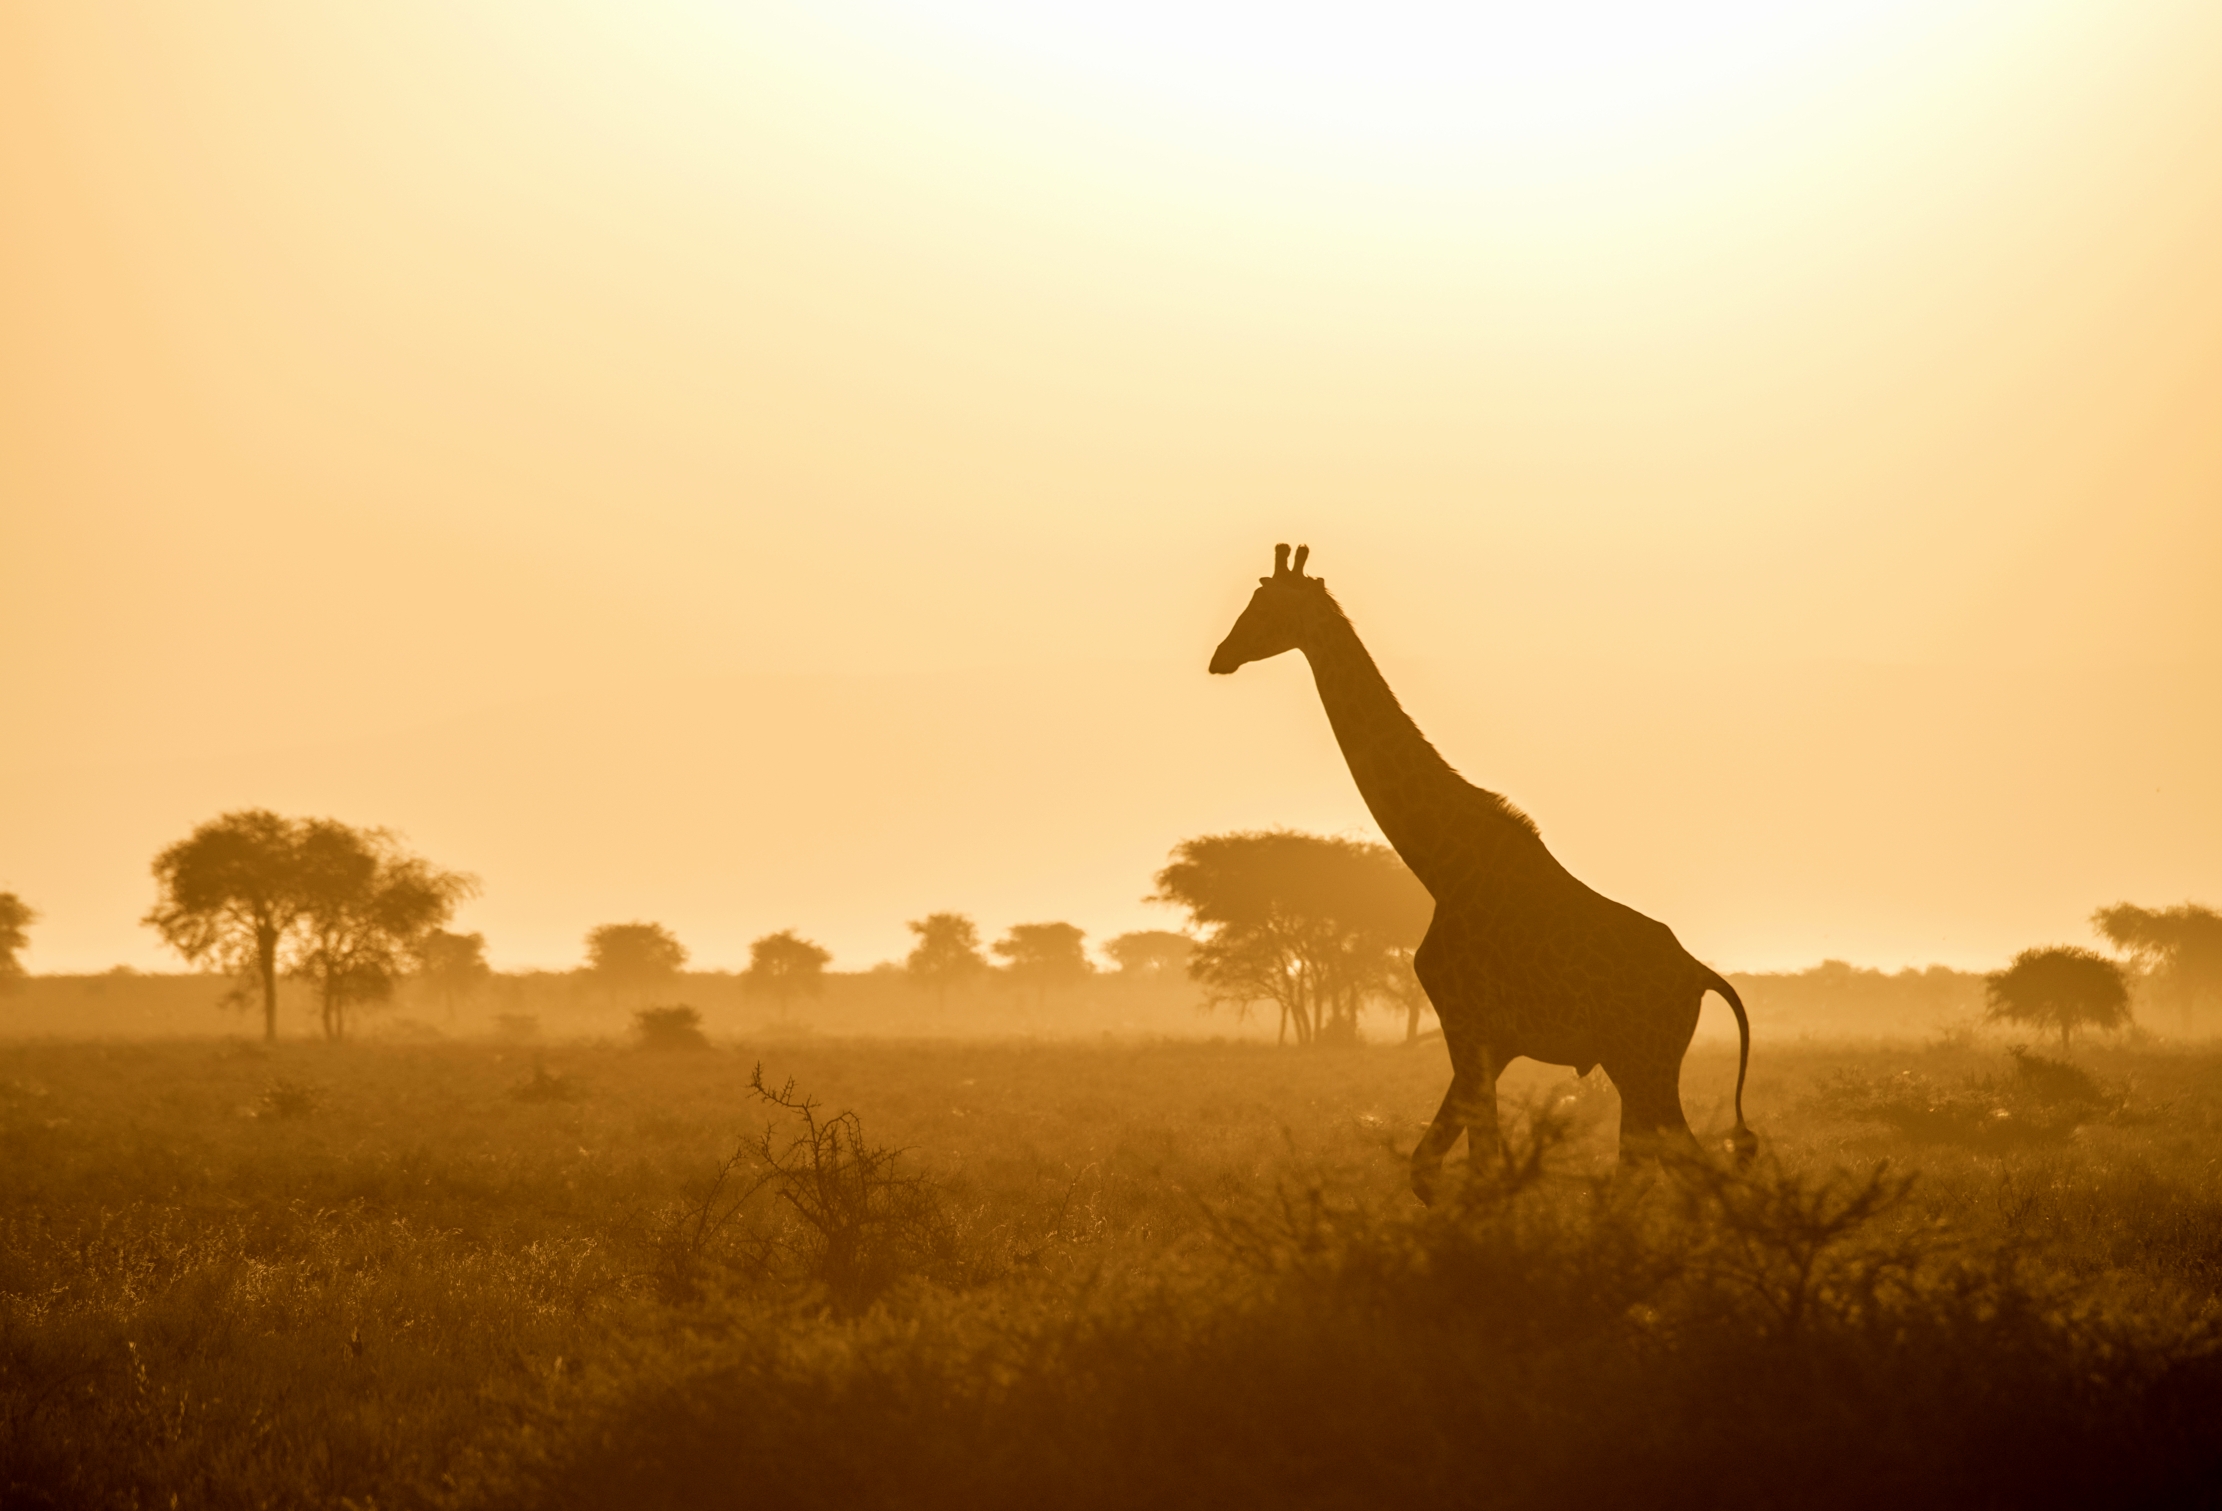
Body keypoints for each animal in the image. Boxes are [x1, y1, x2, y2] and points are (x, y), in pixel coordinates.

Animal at [1209, 544, 1756, 1201]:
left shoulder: (1467, 1024)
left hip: (1643, 1061)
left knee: (1679, 1169)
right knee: (1658, 1167)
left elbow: (1473, 1168)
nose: (1220, 657)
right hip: (1636, 1066)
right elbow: (1440, 1166)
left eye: (1266, 607)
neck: (1441, 865)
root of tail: (1700, 975)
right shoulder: (1488, 1040)